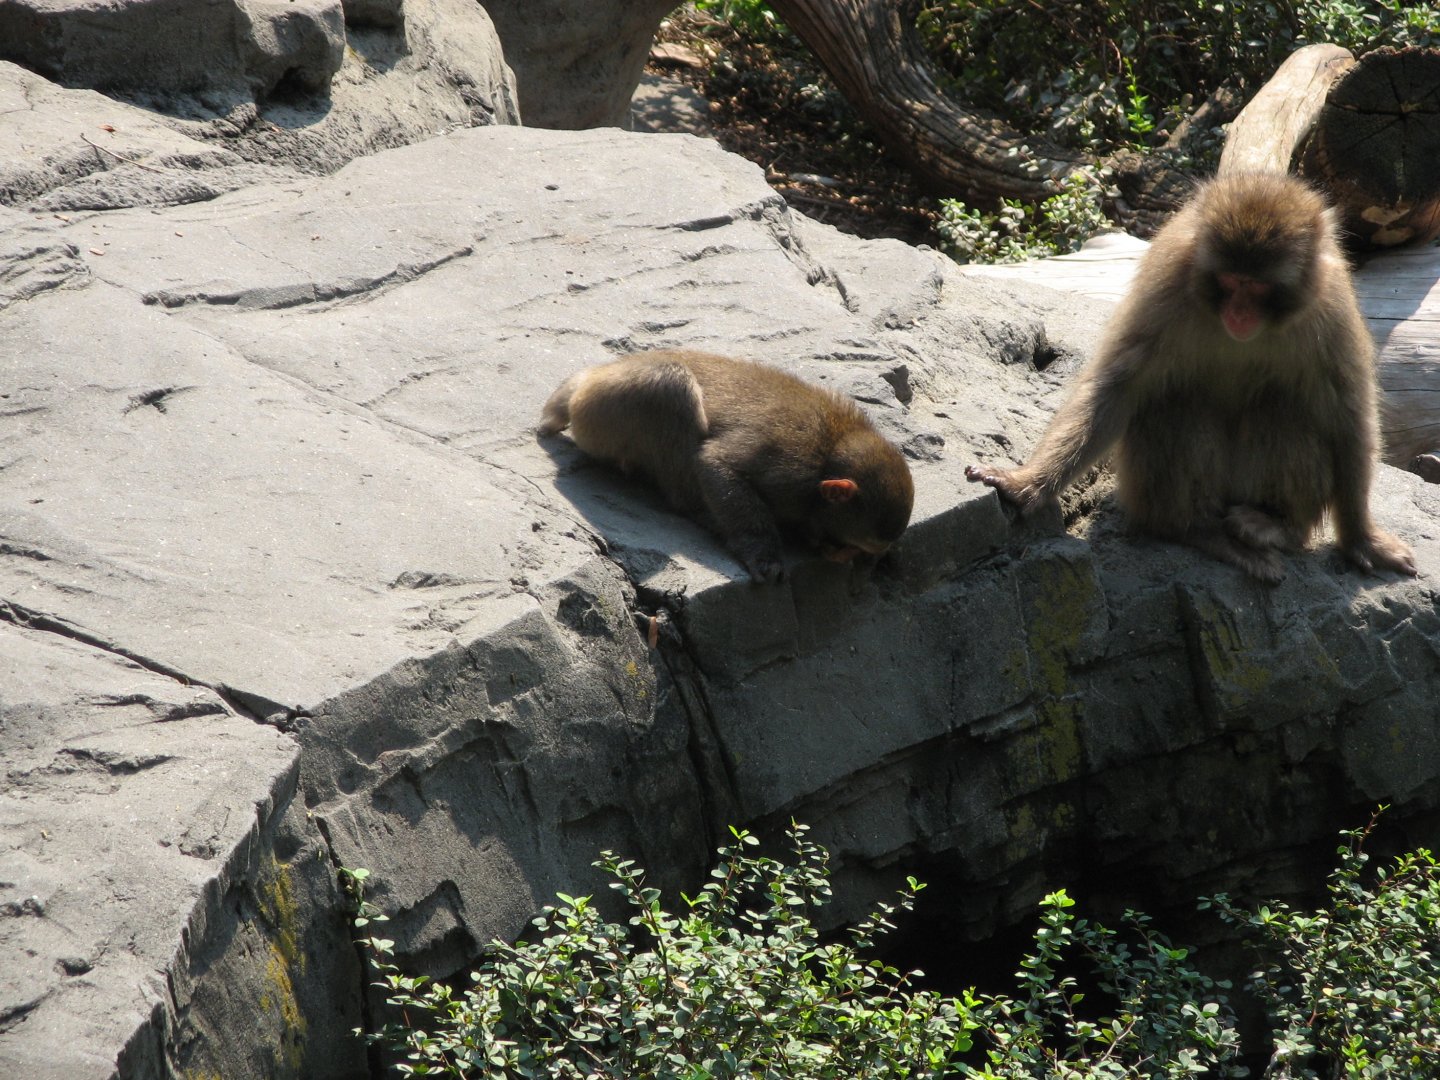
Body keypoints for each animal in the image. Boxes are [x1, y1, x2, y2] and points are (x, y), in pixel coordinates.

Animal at [539, 349, 915, 583]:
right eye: (856, 547)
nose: (852, 558)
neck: (832, 450)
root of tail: (586, 380)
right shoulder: (791, 467)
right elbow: (717, 463)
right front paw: (761, 551)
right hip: (601, 411)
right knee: (671, 384)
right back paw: (696, 509)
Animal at [965, 171, 1415, 585]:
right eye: (1231, 282)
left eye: (1258, 287)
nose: (1239, 314)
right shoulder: (1166, 280)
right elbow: (1117, 386)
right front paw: (1025, 484)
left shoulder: (1331, 304)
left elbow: (1348, 416)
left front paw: (1361, 539)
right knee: (1177, 404)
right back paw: (1197, 531)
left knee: (1283, 410)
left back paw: (1276, 526)